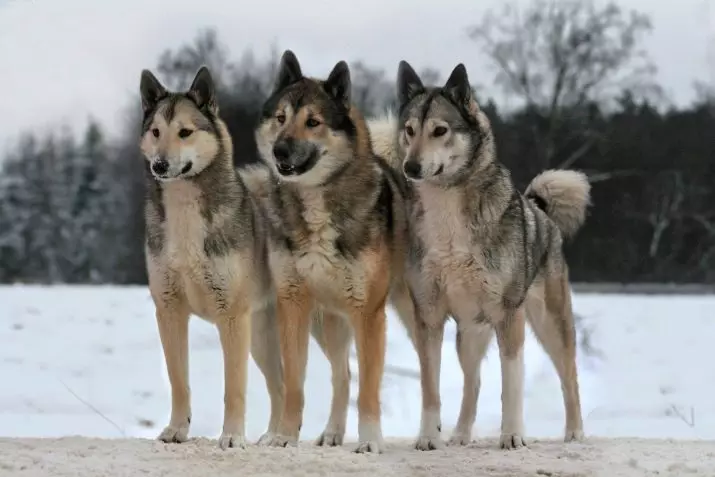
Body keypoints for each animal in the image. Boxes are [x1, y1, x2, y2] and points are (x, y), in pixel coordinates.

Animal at [138, 65, 286, 448]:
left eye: (185, 132)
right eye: (156, 131)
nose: (160, 165)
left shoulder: (231, 316)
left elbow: (233, 388)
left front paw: (232, 437)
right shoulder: (169, 310)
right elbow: (179, 381)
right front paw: (176, 430)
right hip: (261, 339)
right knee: (280, 386)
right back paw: (274, 436)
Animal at [249, 50, 412, 452]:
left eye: (314, 122)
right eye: (280, 118)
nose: (279, 149)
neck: (316, 200)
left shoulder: (369, 313)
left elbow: (370, 390)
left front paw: (370, 442)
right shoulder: (293, 304)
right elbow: (294, 384)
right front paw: (285, 437)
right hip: (324, 326)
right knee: (342, 375)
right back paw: (331, 433)